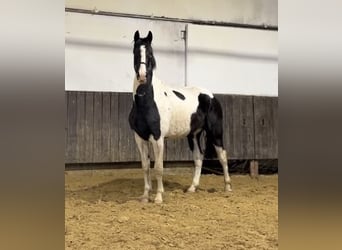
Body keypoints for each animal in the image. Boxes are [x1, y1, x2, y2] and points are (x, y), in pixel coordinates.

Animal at [129, 31, 232, 203]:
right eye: (135, 52)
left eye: (150, 53)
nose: (142, 76)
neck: (147, 101)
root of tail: (211, 96)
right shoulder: (139, 137)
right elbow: (145, 166)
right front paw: (145, 196)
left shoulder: (158, 137)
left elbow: (158, 167)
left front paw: (158, 197)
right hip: (194, 135)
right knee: (198, 158)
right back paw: (192, 188)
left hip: (215, 133)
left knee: (222, 156)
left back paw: (228, 187)